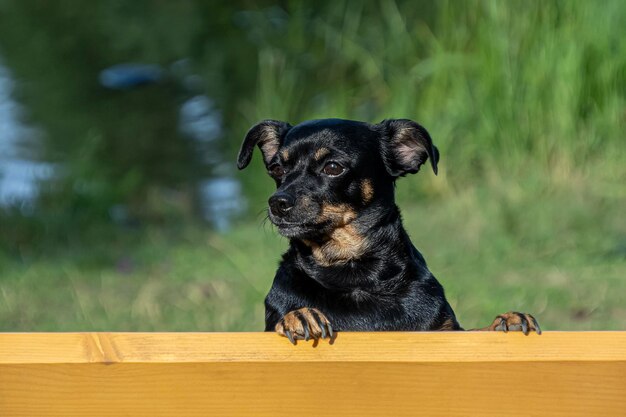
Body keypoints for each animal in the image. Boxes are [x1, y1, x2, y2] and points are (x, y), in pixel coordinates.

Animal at [236, 117, 540, 342]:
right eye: (276, 168)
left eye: (333, 167)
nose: (278, 202)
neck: (353, 271)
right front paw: (298, 316)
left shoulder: (443, 330)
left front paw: (505, 321)